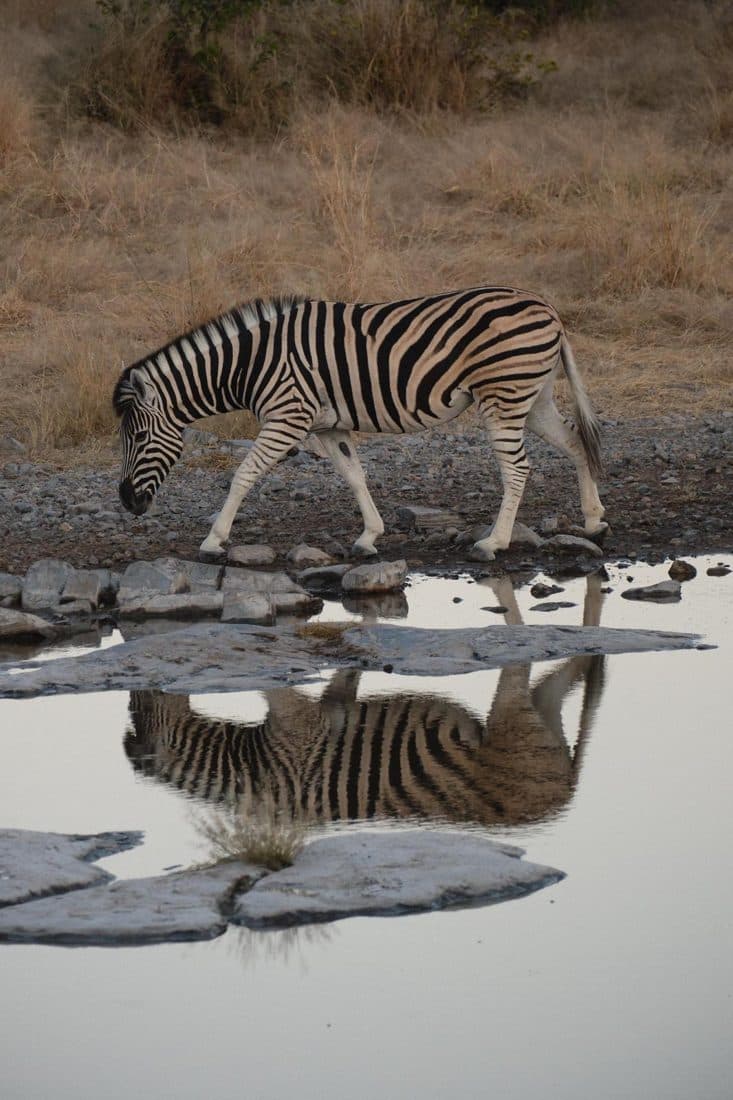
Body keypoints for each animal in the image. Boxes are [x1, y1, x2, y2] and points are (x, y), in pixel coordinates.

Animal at [114, 287, 607, 560]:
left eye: (138, 436)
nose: (126, 502)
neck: (250, 365)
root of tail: (547, 308)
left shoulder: (288, 417)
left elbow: (243, 475)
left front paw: (214, 539)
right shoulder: (327, 425)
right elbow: (354, 475)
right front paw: (370, 536)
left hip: (503, 396)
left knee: (518, 469)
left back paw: (495, 542)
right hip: (533, 396)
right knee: (577, 442)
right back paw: (592, 518)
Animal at [124, 576, 606, 827]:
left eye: (137, 707)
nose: (141, 695)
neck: (247, 769)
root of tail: (564, 795)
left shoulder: (294, 723)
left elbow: (275, 685)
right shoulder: (316, 714)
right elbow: (345, 681)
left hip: (514, 720)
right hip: (542, 718)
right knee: (572, 676)